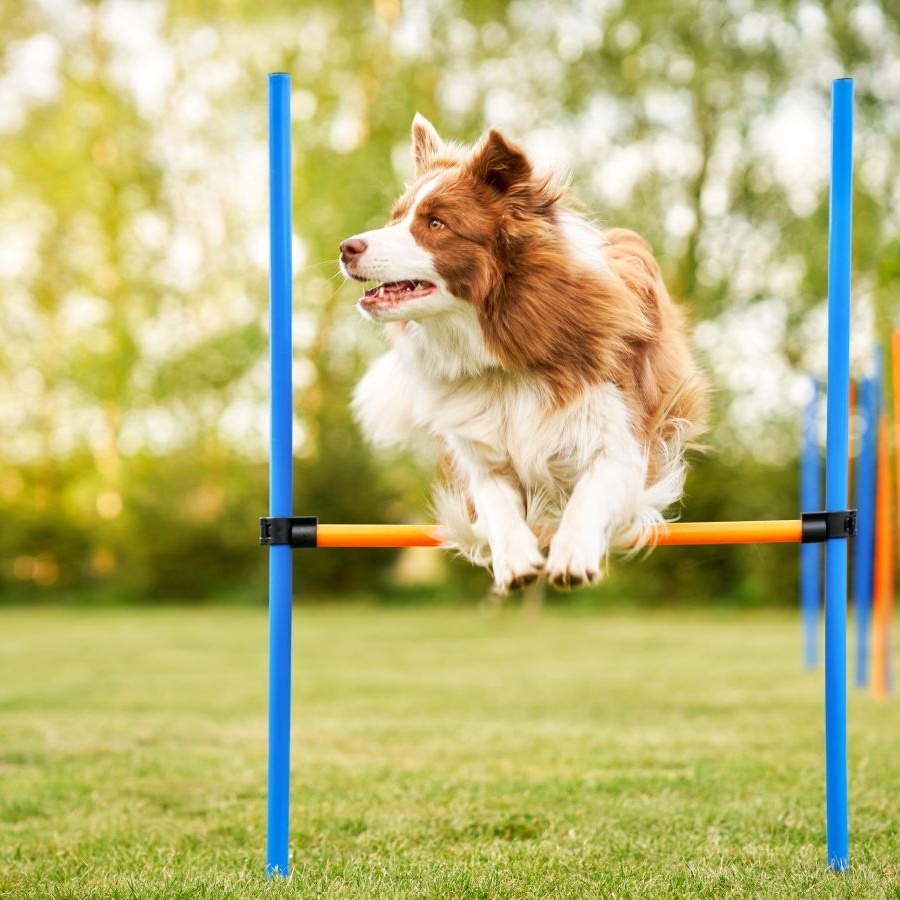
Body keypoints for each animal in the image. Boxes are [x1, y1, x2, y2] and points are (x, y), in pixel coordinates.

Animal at [342, 114, 708, 592]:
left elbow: (590, 492)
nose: (346, 248)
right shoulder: (479, 455)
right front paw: (515, 560)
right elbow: (496, 504)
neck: (502, 356)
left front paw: (572, 555)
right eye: (395, 219)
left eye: (436, 224)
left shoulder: (623, 442)